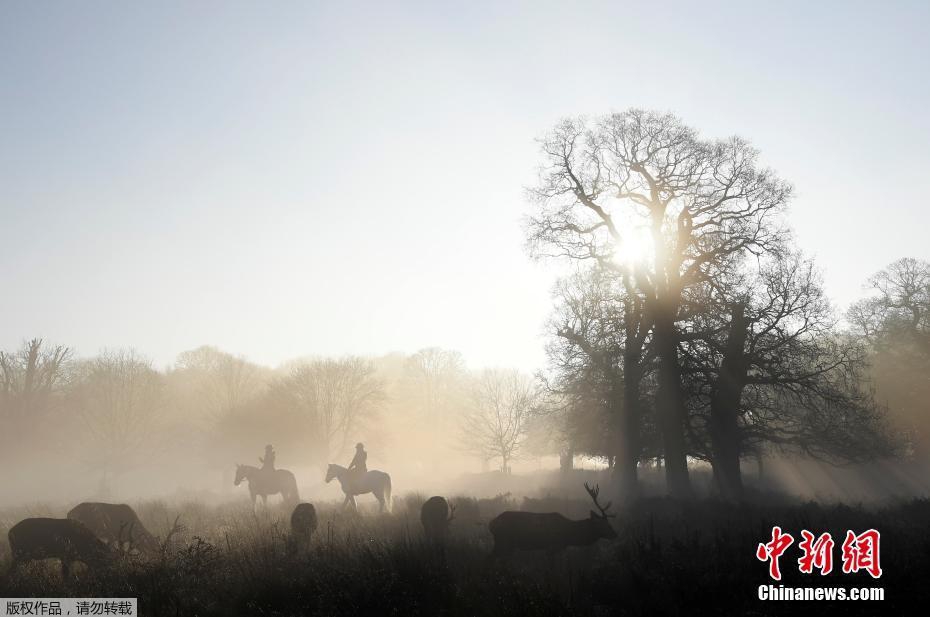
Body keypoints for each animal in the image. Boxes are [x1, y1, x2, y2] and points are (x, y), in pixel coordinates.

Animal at [486, 484, 616, 556]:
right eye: (604, 524)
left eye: (609, 523)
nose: (615, 534)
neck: (569, 535)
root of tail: (491, 524)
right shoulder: (553, 546)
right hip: (504, 541)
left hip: (505, 545)